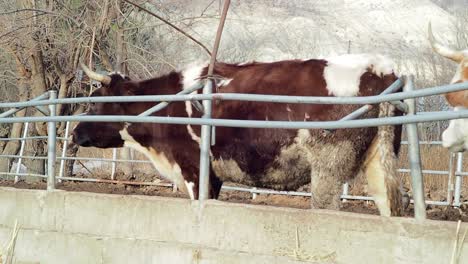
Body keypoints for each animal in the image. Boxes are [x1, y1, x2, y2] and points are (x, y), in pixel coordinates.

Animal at [71, 54, 404, 217]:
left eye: (95, 101)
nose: (74, 133)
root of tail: (382, 68)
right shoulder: (214, 174)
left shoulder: (194, 169)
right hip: (379, 158)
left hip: (329, 166)